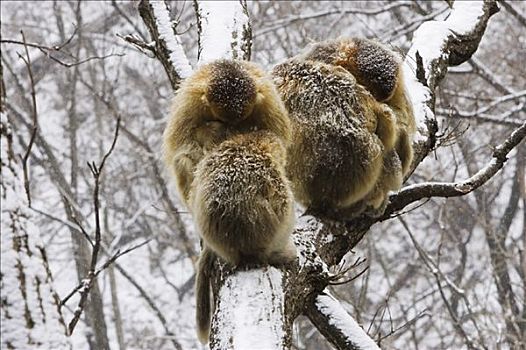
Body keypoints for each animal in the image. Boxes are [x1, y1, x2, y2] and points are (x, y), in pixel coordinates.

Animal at [162, 58, 296, 344]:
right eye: (222, 116)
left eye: (241, 118)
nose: (230, 130)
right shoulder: (190, 103)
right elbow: (183, 147)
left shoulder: (267, 103)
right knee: (185, 159)